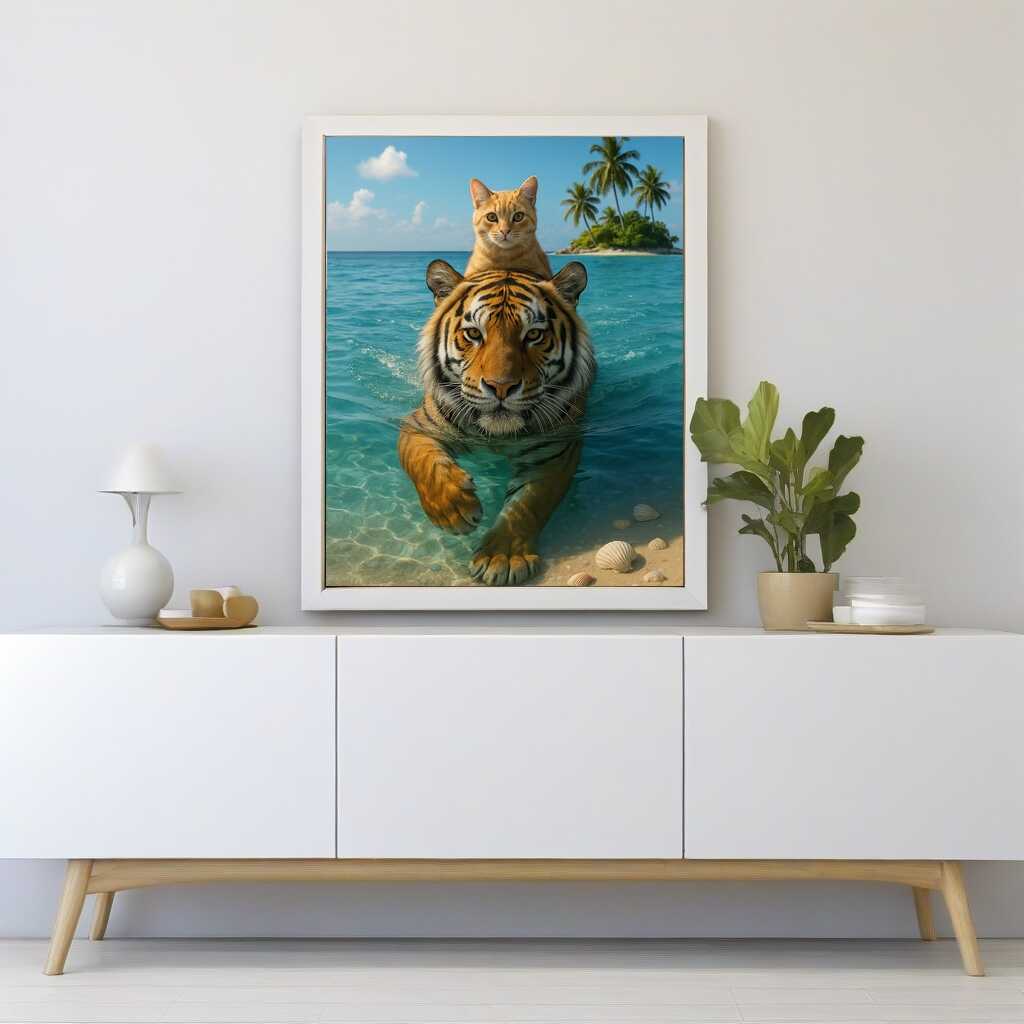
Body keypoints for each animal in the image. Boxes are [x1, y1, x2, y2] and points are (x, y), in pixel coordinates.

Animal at [398, 259, 594, 586]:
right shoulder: (419, 424)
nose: (501, 386)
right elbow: (421, 461)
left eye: (534, 334)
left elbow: (527, 505)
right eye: (473, 334)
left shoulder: (555, 452)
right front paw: (452, 509)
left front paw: (501, 557)